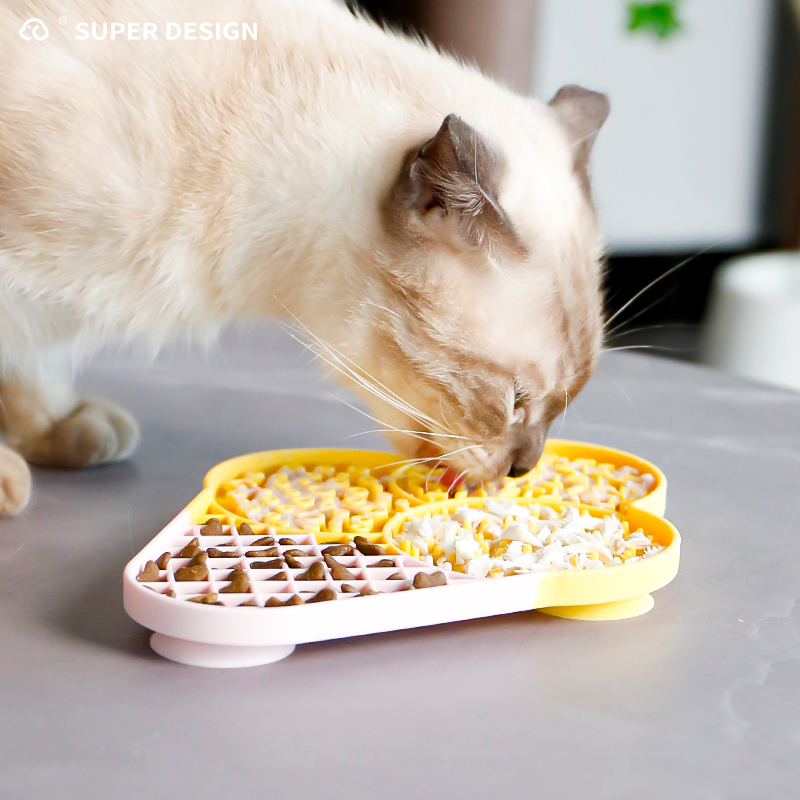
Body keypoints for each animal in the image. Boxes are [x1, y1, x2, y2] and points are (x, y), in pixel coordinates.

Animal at [0, 0, 608, 520]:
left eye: (562, 405)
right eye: (514, 401)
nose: (523, 468)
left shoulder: (45, 309)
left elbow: (30, 371)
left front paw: (56, 430)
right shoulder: (18, 275)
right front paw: (10, 476)